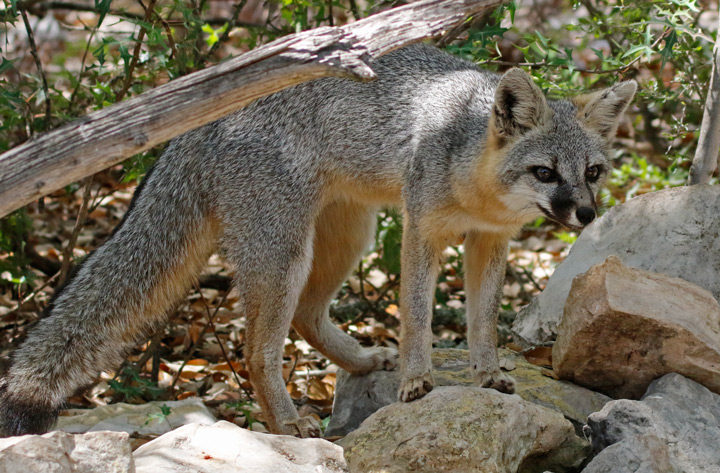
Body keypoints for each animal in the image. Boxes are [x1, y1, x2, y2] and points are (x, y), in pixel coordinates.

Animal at [0, 43, 636, 438]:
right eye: (545, 172)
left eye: (593, 173)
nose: (585, 213)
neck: (471, 177)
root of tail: (207, 117)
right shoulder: (421, 232)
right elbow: (417, 317)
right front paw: (417, 381)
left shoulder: (489, 243)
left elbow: (482, 322)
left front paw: (489, 376)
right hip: (288, 254)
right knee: (257, 352)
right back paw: (288, 426)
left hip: (350, 235)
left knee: (307, 316)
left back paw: (360, 361)